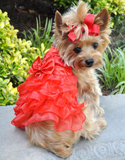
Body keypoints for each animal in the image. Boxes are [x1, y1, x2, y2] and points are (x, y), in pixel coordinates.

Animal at [11, 0, 110, 159]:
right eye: (76, 49)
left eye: (95, 45)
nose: (89, 61)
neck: (67, 60)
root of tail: (52, 145)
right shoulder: (87, 82)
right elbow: (94, 97)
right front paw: (99, 111)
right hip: (81, 111)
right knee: (88, 130)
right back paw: (99, 123)